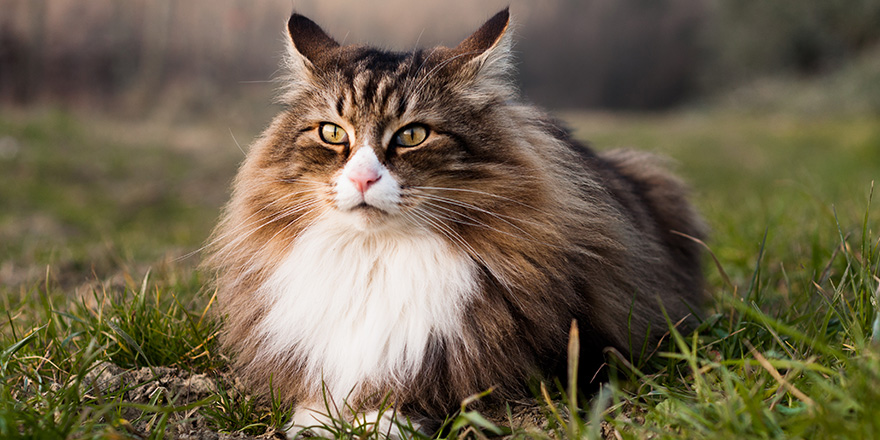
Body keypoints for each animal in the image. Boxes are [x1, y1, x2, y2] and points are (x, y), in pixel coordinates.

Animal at [205, 7, 708, 440]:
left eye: (412, 135)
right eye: (332, 133)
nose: (363, 178)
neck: (376, 260)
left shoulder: (561, 362)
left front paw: (379, 419)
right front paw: (317, 419)